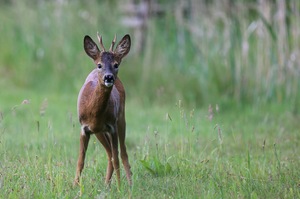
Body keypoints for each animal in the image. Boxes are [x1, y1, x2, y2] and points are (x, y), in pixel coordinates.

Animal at [74, 32, 131, 187]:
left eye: (116, 65)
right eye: (100, 65)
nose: (109, 77)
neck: (94, 113)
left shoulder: (112, 127)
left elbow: (116, 158)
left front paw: (120, 186)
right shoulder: (84, 128)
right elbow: (80, 161)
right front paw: (74, 185)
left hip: (121, 118)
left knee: (122, 153)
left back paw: (129, 183)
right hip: (99, 132)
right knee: (109, 153)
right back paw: (107, 184)